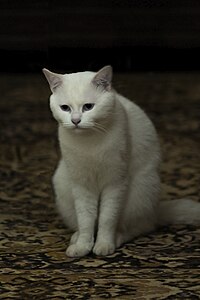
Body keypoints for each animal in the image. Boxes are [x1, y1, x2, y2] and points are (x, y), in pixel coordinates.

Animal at [42, 65, 200, 258]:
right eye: (65, 108)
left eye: (88, 107)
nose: (75, 121)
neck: (90, 143)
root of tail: (155, 211)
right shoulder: (82, 186)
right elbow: (86, 220)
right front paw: (83, 246)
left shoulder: (115, 183)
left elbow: (107, 219)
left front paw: (103, 245)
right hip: (63, 186)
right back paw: (76, 238)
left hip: (139, 193)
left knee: (140, 227)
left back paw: (117, 238)